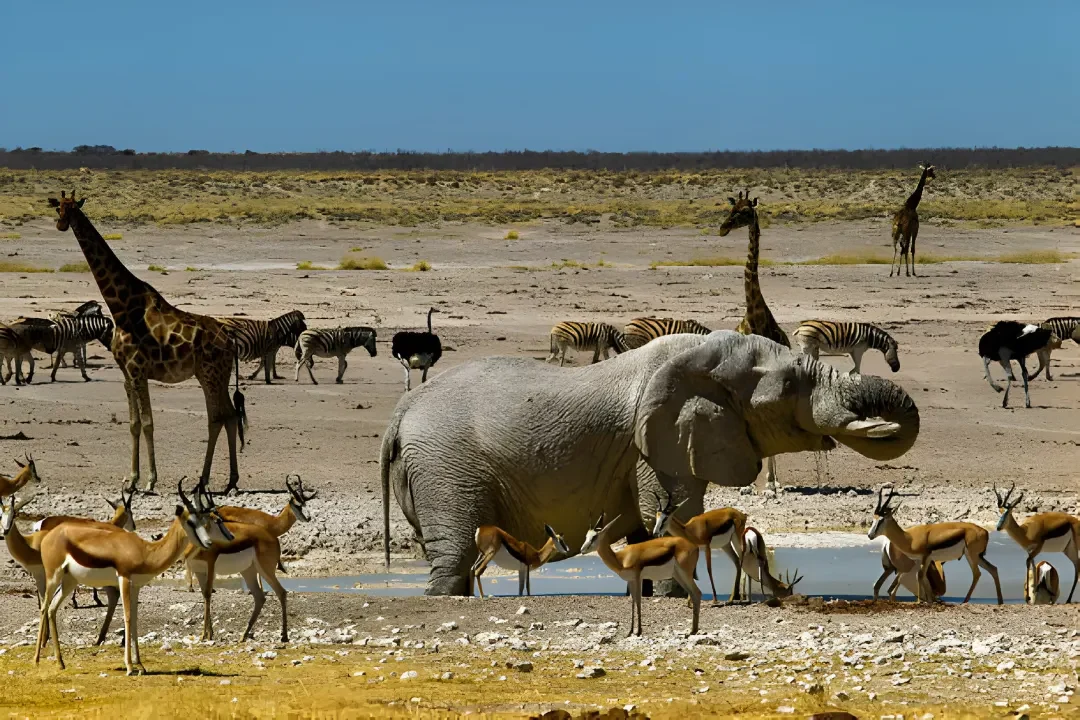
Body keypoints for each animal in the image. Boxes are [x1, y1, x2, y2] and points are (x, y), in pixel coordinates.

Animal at [34, 482, 231, 675]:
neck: (146, 551)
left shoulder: (136, 586)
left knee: (52, 608)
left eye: (205, 521)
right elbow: (128, 617)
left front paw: (140, 665)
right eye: (191, 521)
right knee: (44, 607)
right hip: (53, 577)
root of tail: (49, 534)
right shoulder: (124, 579)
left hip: (70, 581)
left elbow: (136, 619)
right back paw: (36, 659)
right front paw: (129, 666)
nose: (209, 543)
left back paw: (61, 662)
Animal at [184, 489, 289, 642]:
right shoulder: (199, 571)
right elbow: (205, 595)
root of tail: (273, 537)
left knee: (281, 592)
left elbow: (208, 595)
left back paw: (284, 636)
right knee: (260, 597)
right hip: (248, 571)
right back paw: (243, 636)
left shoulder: (210, 568)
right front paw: (209, 634)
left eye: (217, 519)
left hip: (265, 570)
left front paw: (205, 635)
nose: (230, 537)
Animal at [868, 488, 1002, 604]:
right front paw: (929, 601)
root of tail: (984, 532)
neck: (909, 538)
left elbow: (920, 576)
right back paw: (1000, 602)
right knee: (993, 569)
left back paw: (965, 601)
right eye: (873, 519)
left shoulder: (925, 557)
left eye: (881, 520)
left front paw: (922, 602)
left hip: (971, 555)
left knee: (977, 573)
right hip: (977, 556)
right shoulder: (924, 559)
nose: (870, 535)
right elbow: (922, 577)